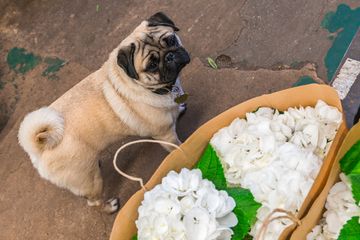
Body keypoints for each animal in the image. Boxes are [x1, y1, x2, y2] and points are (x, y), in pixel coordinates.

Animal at [17, 12, 191, 213]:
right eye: (152, 65)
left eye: (171, 40)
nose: (170, 55)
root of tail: (38, 147)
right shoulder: (165, 136)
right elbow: (178, 147)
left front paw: (179, 109)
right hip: (90, 181)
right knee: (92, 202)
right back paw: (109, 206)